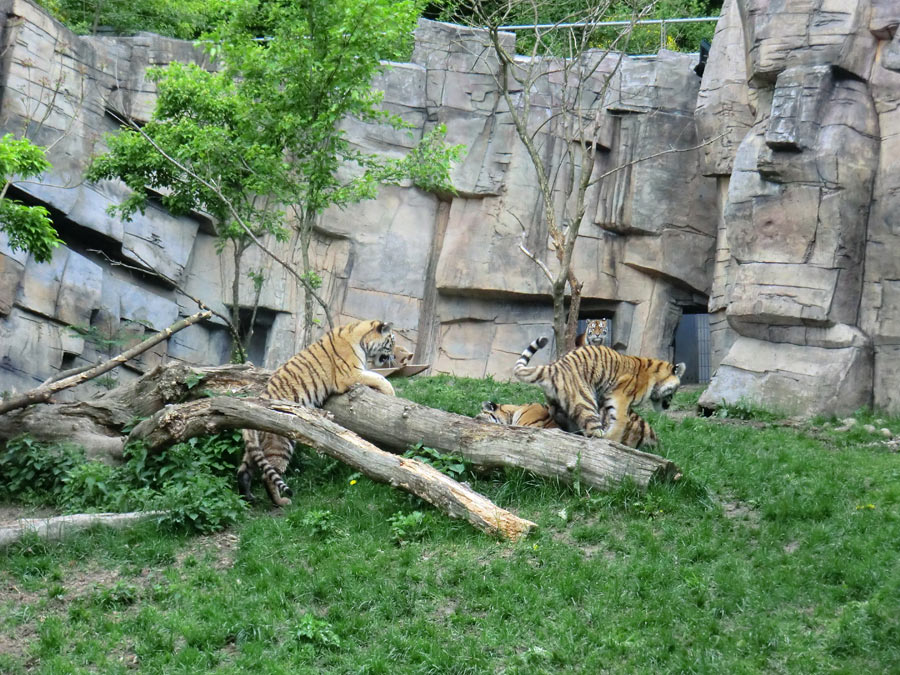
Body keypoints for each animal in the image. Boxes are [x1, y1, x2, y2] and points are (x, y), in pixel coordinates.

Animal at [237, 320, 396, 504]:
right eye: (392, 341)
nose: (395, 357)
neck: (362, 338)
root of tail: (256, 403)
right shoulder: (349, 375)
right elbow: (380, 377)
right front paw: (391, 393)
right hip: (281, 443)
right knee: (267, 475)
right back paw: (281, 502)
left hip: (255, 446)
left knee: (243, 471)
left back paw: (248, 497)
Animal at [510, 336, 684, 444]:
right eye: (674, 391)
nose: (668, 405)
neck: (653, 377)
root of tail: (554, 367)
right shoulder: (620, 401)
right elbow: (619, 423)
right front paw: (612, 442)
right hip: (584, 400)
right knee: (593, 431)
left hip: (557, 404)